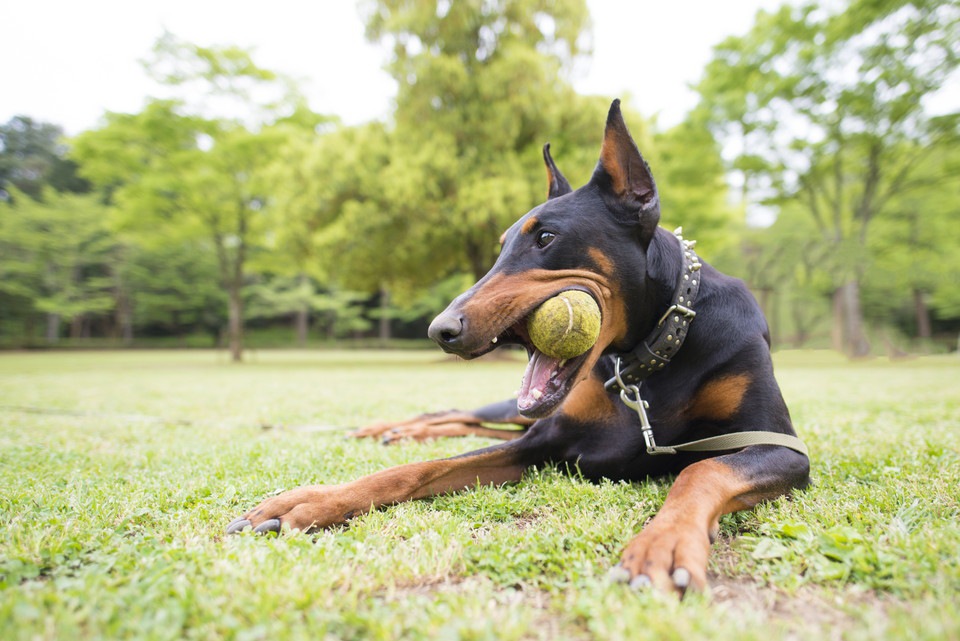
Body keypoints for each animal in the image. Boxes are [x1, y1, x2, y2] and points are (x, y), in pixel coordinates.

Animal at [227, 99, 808, 596]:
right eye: (502, 245)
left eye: (546, 238)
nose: (440, 329)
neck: (649, 360)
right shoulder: (545, 441)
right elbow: (421, 469)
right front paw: (311, 499)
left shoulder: (782, 448)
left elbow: (700, 469)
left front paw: (662, 547)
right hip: (517, 411)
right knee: (459, 414)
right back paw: (392, 429)